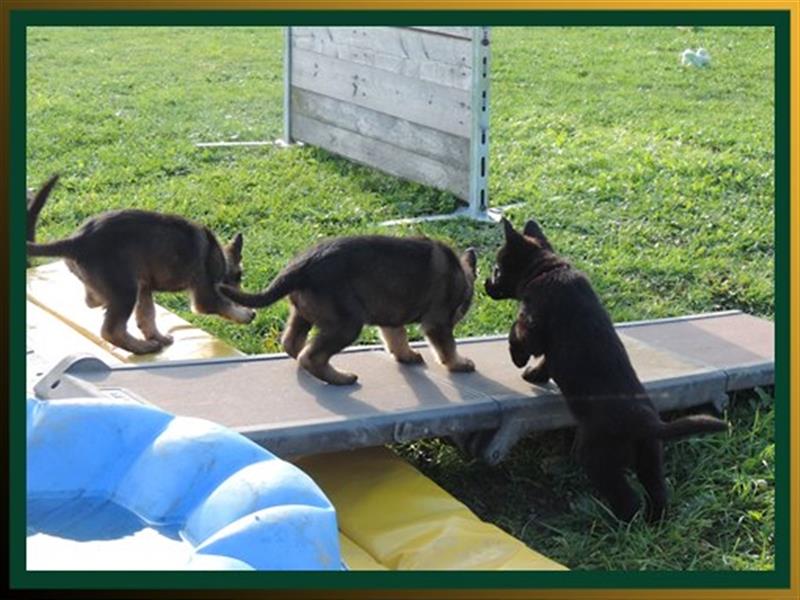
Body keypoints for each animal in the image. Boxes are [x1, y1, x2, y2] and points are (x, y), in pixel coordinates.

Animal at [27, 177, 253, 356]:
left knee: (94, 302)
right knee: (110, 330)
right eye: (239, 275)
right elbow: (223, 304)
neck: (220, 258)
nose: (246, 303)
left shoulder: (145, 287)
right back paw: (143, 348)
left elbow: (147, 316)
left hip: (125, 286)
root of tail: (77, 241)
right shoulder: (204, 297)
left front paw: (157, 336)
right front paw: (247, 314)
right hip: (125, 290)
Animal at [220, 234, 476, 384]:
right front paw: (459, 364)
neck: (460, 276)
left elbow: (397, 339)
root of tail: (301, 266)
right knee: (311, 357)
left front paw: (406, 356)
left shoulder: (390, 318)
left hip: (303, 314)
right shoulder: (438, 323)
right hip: (347, 324)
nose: (460, 315)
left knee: (293, 344)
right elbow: (447, 348)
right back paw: (341, 378)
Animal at [484, 218, 728, 524]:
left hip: (598, 459)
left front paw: (519, 362)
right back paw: (653, 522)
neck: (547, 269)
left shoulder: (533, 325)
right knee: (657, 492)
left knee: (627, 499)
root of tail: (648, 423)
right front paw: (533, 374)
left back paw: (616, 522)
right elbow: (546, 362)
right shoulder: (553, 349)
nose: (485, 284)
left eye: (496, 269)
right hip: (650, 458)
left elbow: (515, 333)